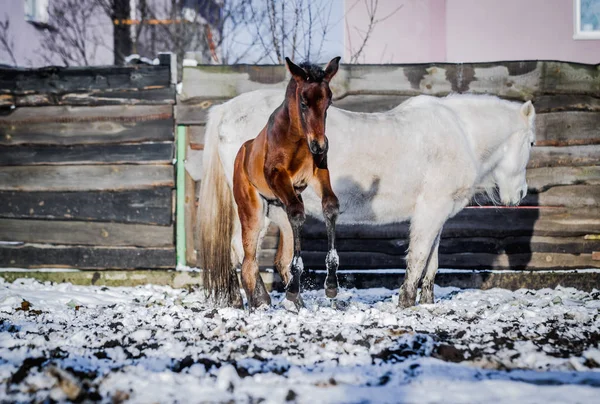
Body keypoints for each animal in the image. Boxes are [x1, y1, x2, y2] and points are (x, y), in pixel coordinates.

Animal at [199, 90, 536, 306]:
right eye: (532, 142)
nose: (519, 194)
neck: (460, 133)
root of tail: (225, 110)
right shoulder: (430, 211)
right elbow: (418, 258)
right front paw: (406, 301)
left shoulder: (439, 213)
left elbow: (433, 262)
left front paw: (427, 301)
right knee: (243, 252)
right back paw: (259, 300)